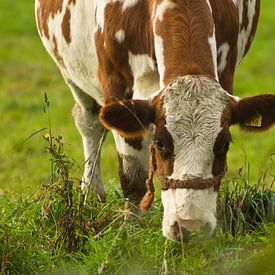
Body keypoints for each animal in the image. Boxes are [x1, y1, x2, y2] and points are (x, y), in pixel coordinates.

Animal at [35, 0, 275, 242]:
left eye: (225, 144)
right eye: (160, 143)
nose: (190, 227)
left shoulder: (226, 71)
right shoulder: (117, 88)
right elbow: (133, 178)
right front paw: (129, 233)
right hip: (72, 74)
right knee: (89, 122)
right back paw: (92, 193)